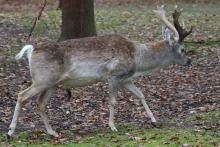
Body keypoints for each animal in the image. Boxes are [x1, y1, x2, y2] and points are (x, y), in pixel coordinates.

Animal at [7, 5, 192, 137]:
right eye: (183, 49)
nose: (189, 61)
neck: (138, 59)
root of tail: (31, 51)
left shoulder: (127, 79)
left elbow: (141, 95)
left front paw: (154, 121)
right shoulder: (114, 75)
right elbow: (113, 101)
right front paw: (113, 127)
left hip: (52, 83)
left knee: (40, 103)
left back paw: (53, 132)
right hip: (42, 79)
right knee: (22, 95)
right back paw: (10, 132)